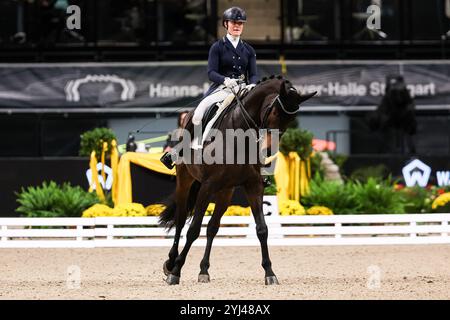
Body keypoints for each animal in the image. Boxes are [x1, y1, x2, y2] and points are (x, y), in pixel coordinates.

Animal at [158, 75, 316, 284]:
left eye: (291, 119)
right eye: (274, 111)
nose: (268, 151)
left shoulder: (253, 186)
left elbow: (262, 229)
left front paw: (270, 273)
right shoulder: (207, 187)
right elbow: (193, 229)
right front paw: (176, 272)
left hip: (226, 191)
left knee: (213, 227)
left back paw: (204, 270)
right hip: (186, 181)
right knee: (182, 219)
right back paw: (171, 263)